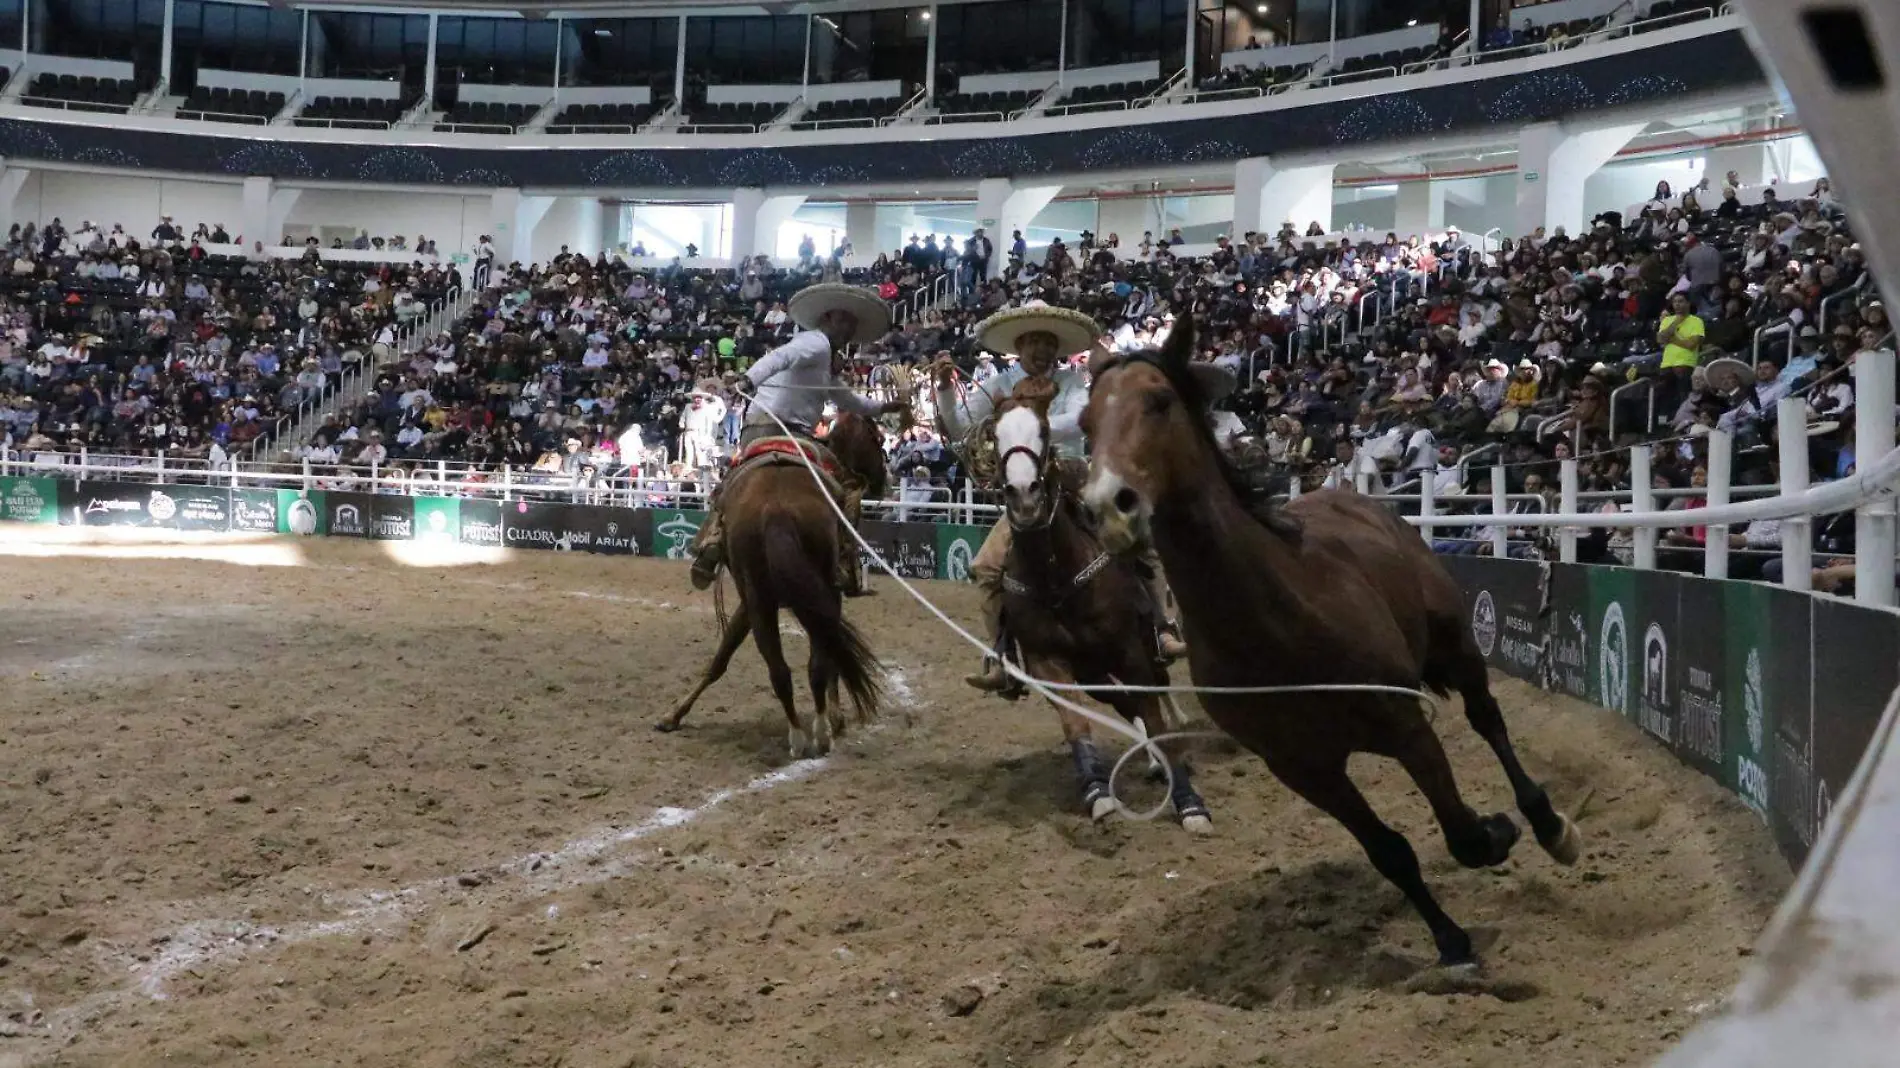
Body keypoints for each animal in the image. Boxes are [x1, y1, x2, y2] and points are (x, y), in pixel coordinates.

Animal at [653, 412, 889, 752]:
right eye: (876, 438)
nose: (884, 480)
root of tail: (777, 508)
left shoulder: (750, 602)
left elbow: (721, 656)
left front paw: (674, 714)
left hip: (762, 600)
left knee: (784, 670)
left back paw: (804, 734)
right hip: (790, 597)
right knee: (806, 666)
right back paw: (815, 733)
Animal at [988, 391, 1208, 832]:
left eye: (1043, 430)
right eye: (994, 434)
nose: (1023, 495)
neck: (1055, 577)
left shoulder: (1130, 652)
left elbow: (1151, 712)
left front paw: (1190, 803)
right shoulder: (1047, 661)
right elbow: (1076, 723)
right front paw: (1096, 792)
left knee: (1155, 692)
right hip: (1092, 673)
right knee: (1123, 703)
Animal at [1079, 319, 1580, 980]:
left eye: (1159, 401)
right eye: (1085, 423)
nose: (1108, 506)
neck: (1275, 625)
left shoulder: (1406, 726)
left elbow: (1461, 832)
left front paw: (1497, 831)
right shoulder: (1305, 770)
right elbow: (1389, 852)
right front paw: (1451, 943)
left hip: (1457, 647)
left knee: (1487, 720)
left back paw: (1547, 823)